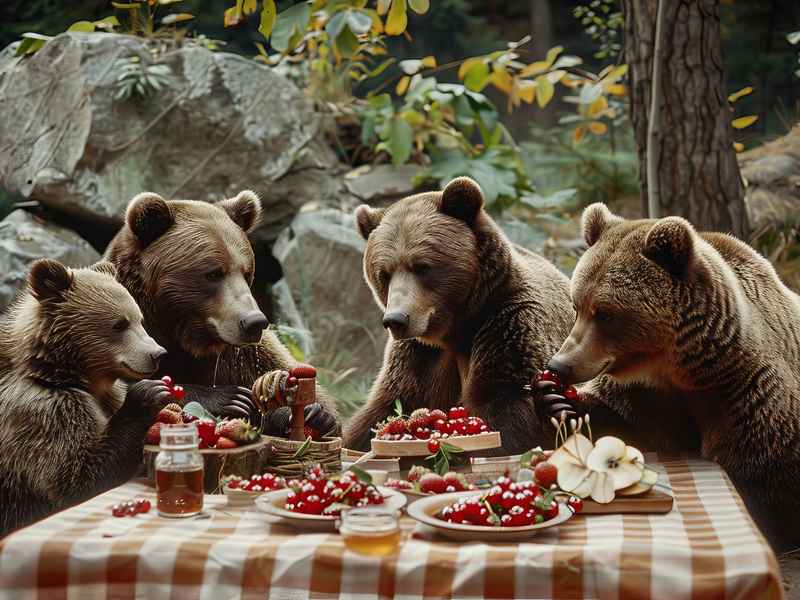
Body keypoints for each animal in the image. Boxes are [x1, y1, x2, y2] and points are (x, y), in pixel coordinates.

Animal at [0, 258, 171, 536]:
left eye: (140, 319)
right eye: (120, 324)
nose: (157, 354)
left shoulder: (106, 396)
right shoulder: (41, 409)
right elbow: (76, 475)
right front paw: (148, 394)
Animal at [103, 190, 339, 438]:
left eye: (247, 272)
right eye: (214, 273)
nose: (254, 322)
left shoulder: (240, 354)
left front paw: (316, 413)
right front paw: (229, 398)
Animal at [343, 177, 575, 454]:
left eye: (422, 266)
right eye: (383, 273)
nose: (397, 320)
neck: (457, 330)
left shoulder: (509, 325)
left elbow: (504, 411)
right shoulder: (417, 356)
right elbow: (379, 410)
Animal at [544, 203, 800, 551]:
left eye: (606, 313)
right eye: (576, 305)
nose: (559, 365)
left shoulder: (745, 395)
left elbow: (759, 471)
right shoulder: (643, 393)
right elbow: (620, 421)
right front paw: (555, 400)